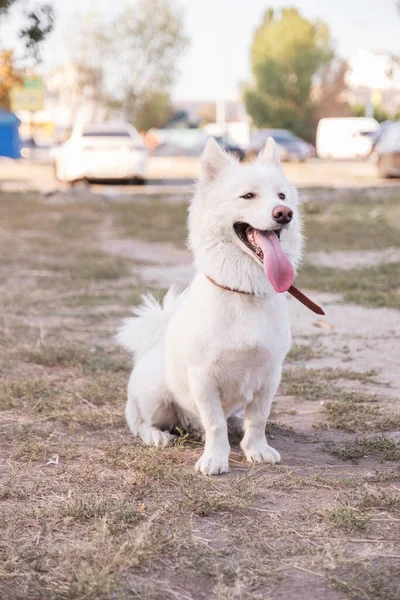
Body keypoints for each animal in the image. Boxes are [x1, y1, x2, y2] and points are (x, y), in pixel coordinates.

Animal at [115, 138, 304, 476]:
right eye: (248, 195)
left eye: (282, 196)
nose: (285, 213)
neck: (243, 291)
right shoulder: (203, 377)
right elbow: (214, 423)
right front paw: (215, 458)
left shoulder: (270, 375)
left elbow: (258, 418)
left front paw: (256, 449)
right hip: (154, 394)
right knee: (141, 423)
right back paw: (157, 435)